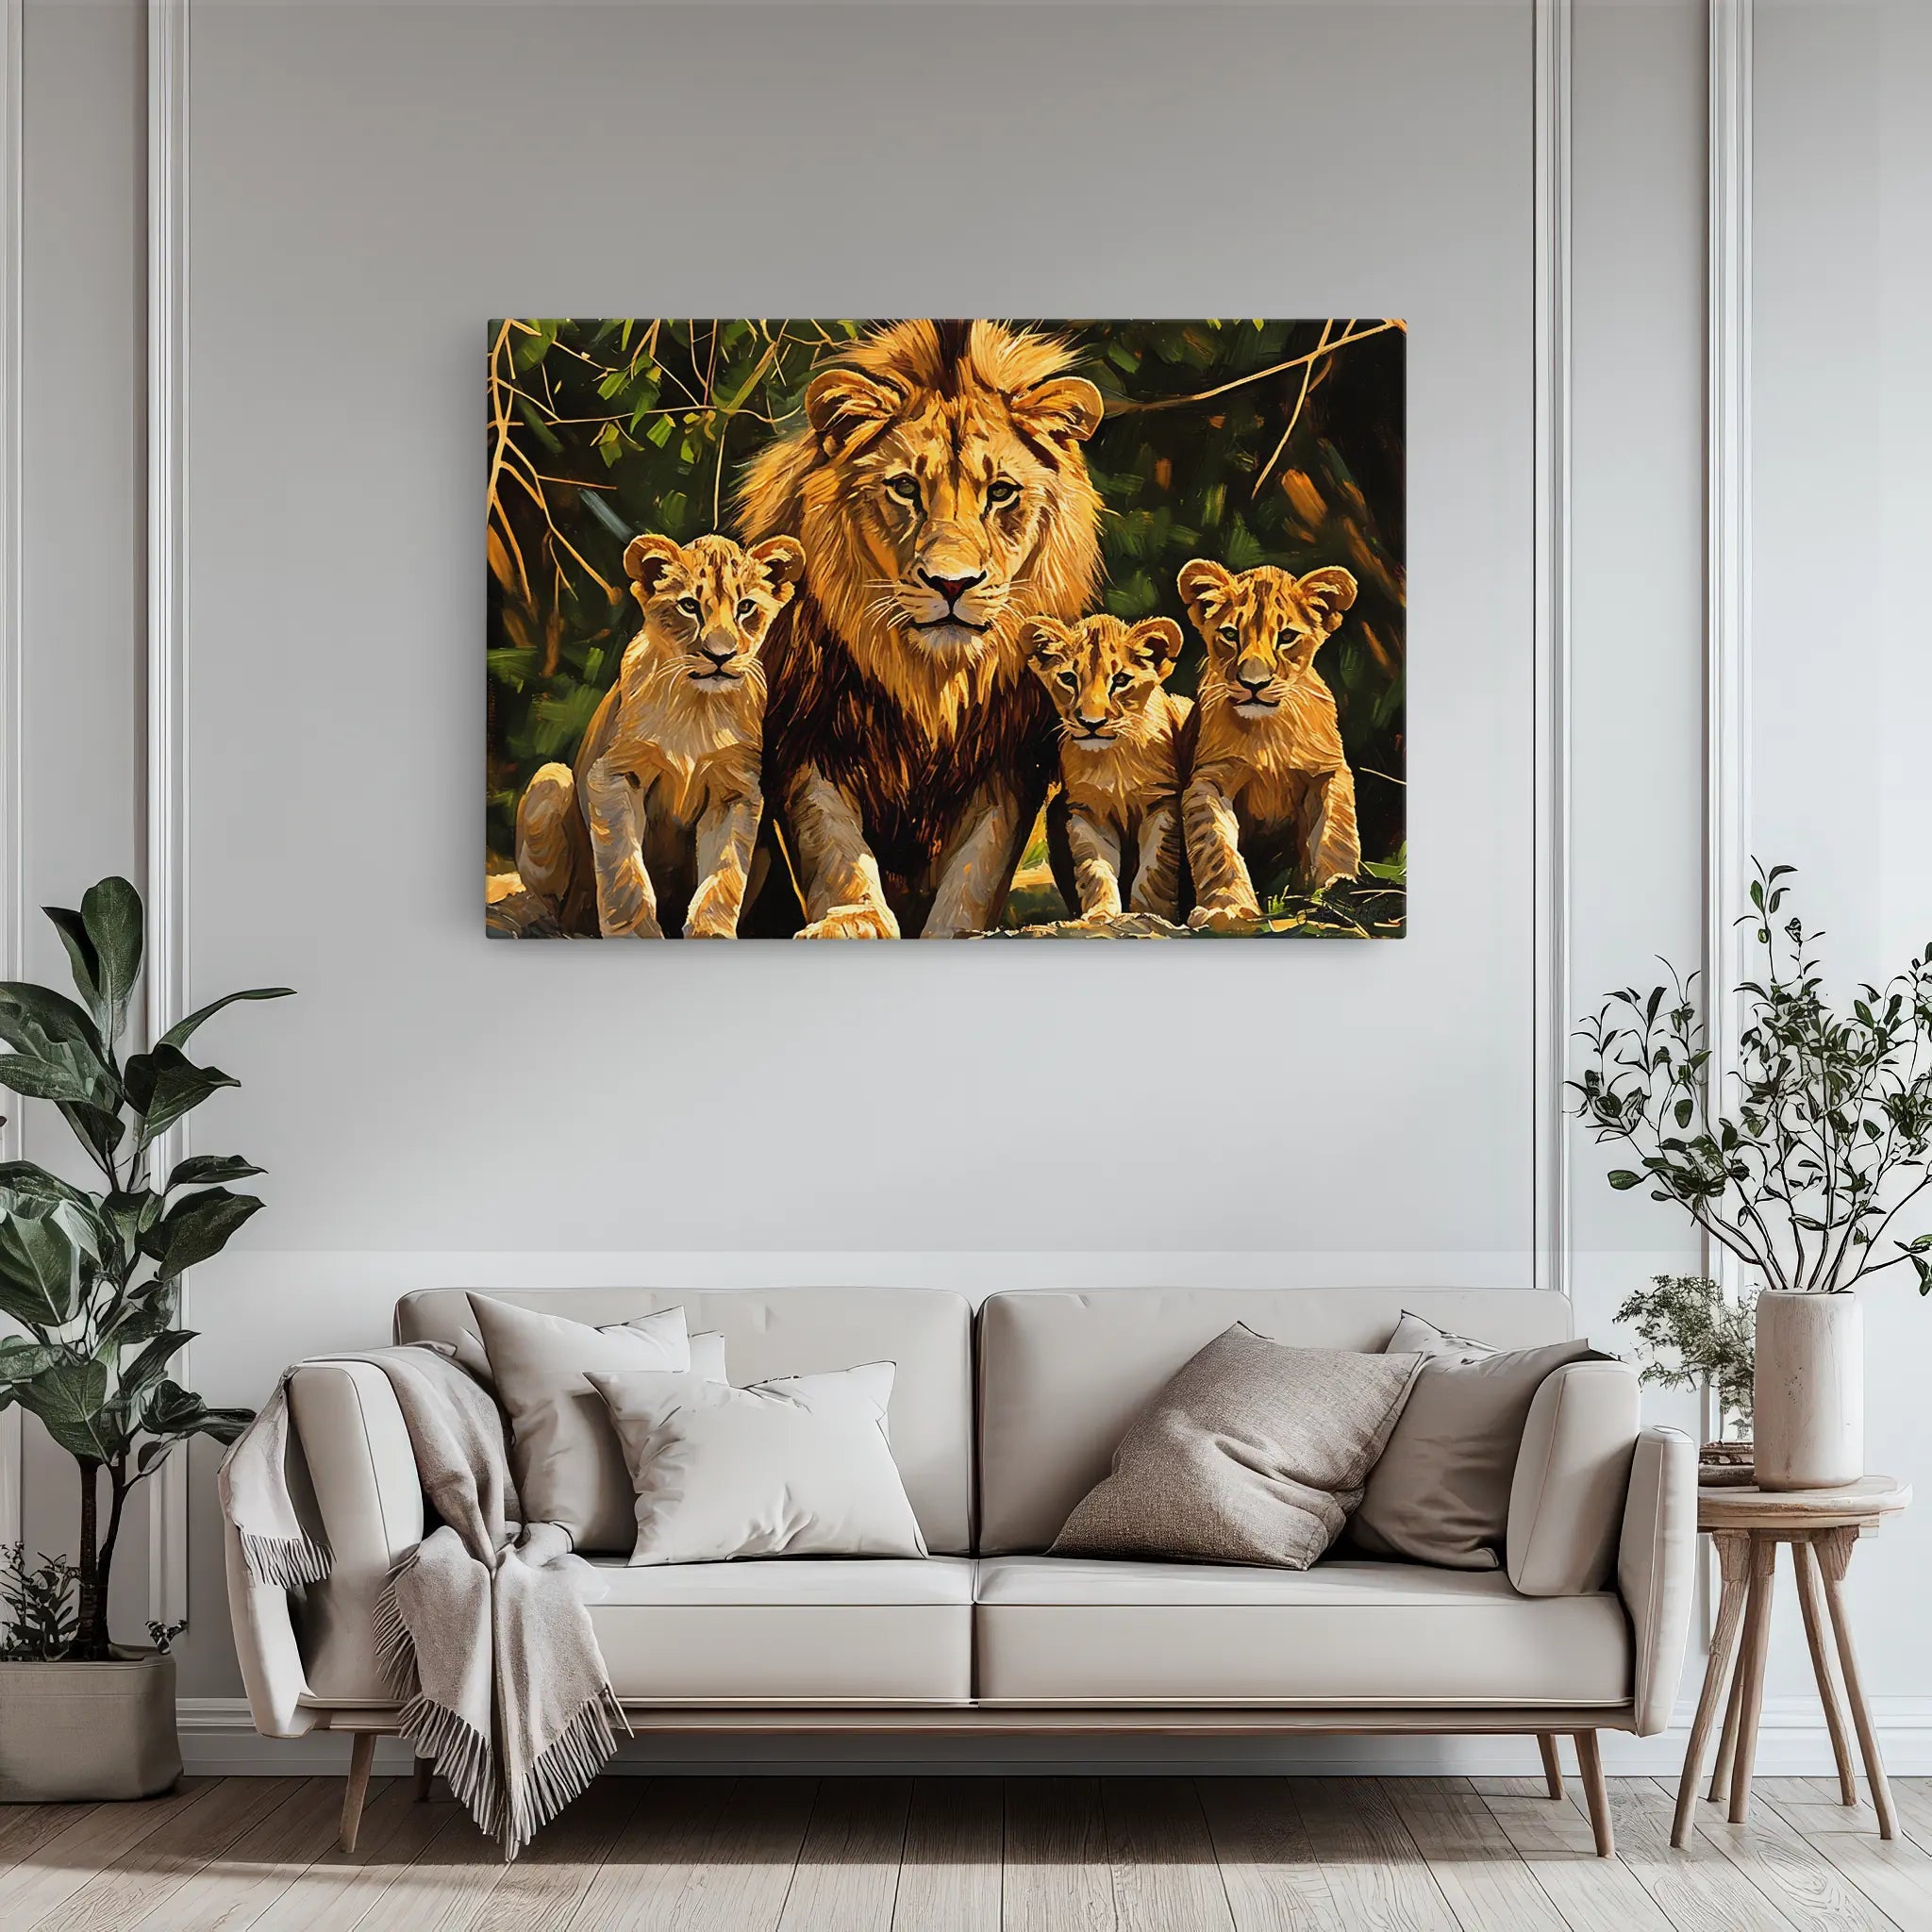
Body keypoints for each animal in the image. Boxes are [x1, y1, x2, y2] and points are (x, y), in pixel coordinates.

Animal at [514, 531, 804, 938]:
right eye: (688, 606)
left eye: (746, 607)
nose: (720, 656)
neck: (697, 706)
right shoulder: (614, 774)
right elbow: (624, 870)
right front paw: (634, 934)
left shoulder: (736, 790)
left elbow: (724, 875)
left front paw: (711, 932)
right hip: (551, 779)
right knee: (551, 901)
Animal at [736, 320, 1105, 938]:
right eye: (905, 488)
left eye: (1001, 492)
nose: (951, 584)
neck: (930, 680)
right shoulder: (807, 739)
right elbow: (835, 850)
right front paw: (853, 919)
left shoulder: (1006, 763)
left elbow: (977, 870)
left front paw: (956, 930)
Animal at [1024, 613, 1192, 923]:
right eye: (1068, 678)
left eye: (1121, 680)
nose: (1092, 723)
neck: (1112, 758)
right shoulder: (1086, 811)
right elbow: (1095, 868)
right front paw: (1100, 915)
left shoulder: (1162, 803)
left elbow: (1154, 869)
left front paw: (1151, 914)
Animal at [1175, 559, 1361, 931]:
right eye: (1230, 634)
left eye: (1287, 637)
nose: (1254, 684)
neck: (1268, 732)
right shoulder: (1210, 779)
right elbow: (1215, 844)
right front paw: (1227, 907)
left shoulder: (1327, 772)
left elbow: (1336, 832)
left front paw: (1339, 891)